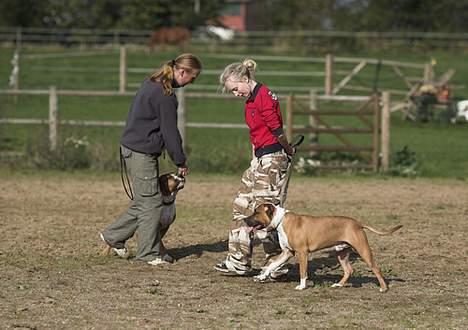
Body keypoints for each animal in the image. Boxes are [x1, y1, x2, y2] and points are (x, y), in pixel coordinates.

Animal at [245, 204, 402, 292]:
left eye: (256, 212)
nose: (245, 220)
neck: (281, 221)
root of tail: (358, 223)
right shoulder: (287, 253)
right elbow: (272, 264)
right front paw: (262, 276)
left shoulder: (302, 253)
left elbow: (303, 272)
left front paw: (302, 286)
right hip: (341, 253)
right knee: (349, 270)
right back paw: (338, 285)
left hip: (363, 250)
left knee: (376, 268)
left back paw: (384, 288)